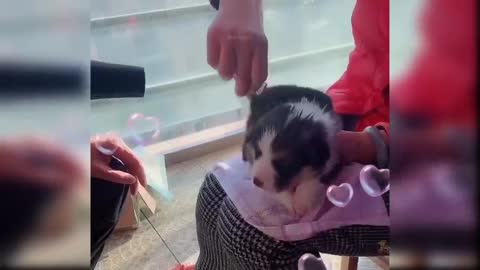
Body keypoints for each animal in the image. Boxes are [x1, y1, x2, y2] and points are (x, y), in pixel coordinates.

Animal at [244, 85, 342, 216]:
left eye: (283, 164)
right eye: (258, 153)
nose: (256, 182)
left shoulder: (332, 156)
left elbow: (314, 179)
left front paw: (301, 203)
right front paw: (291, 203)